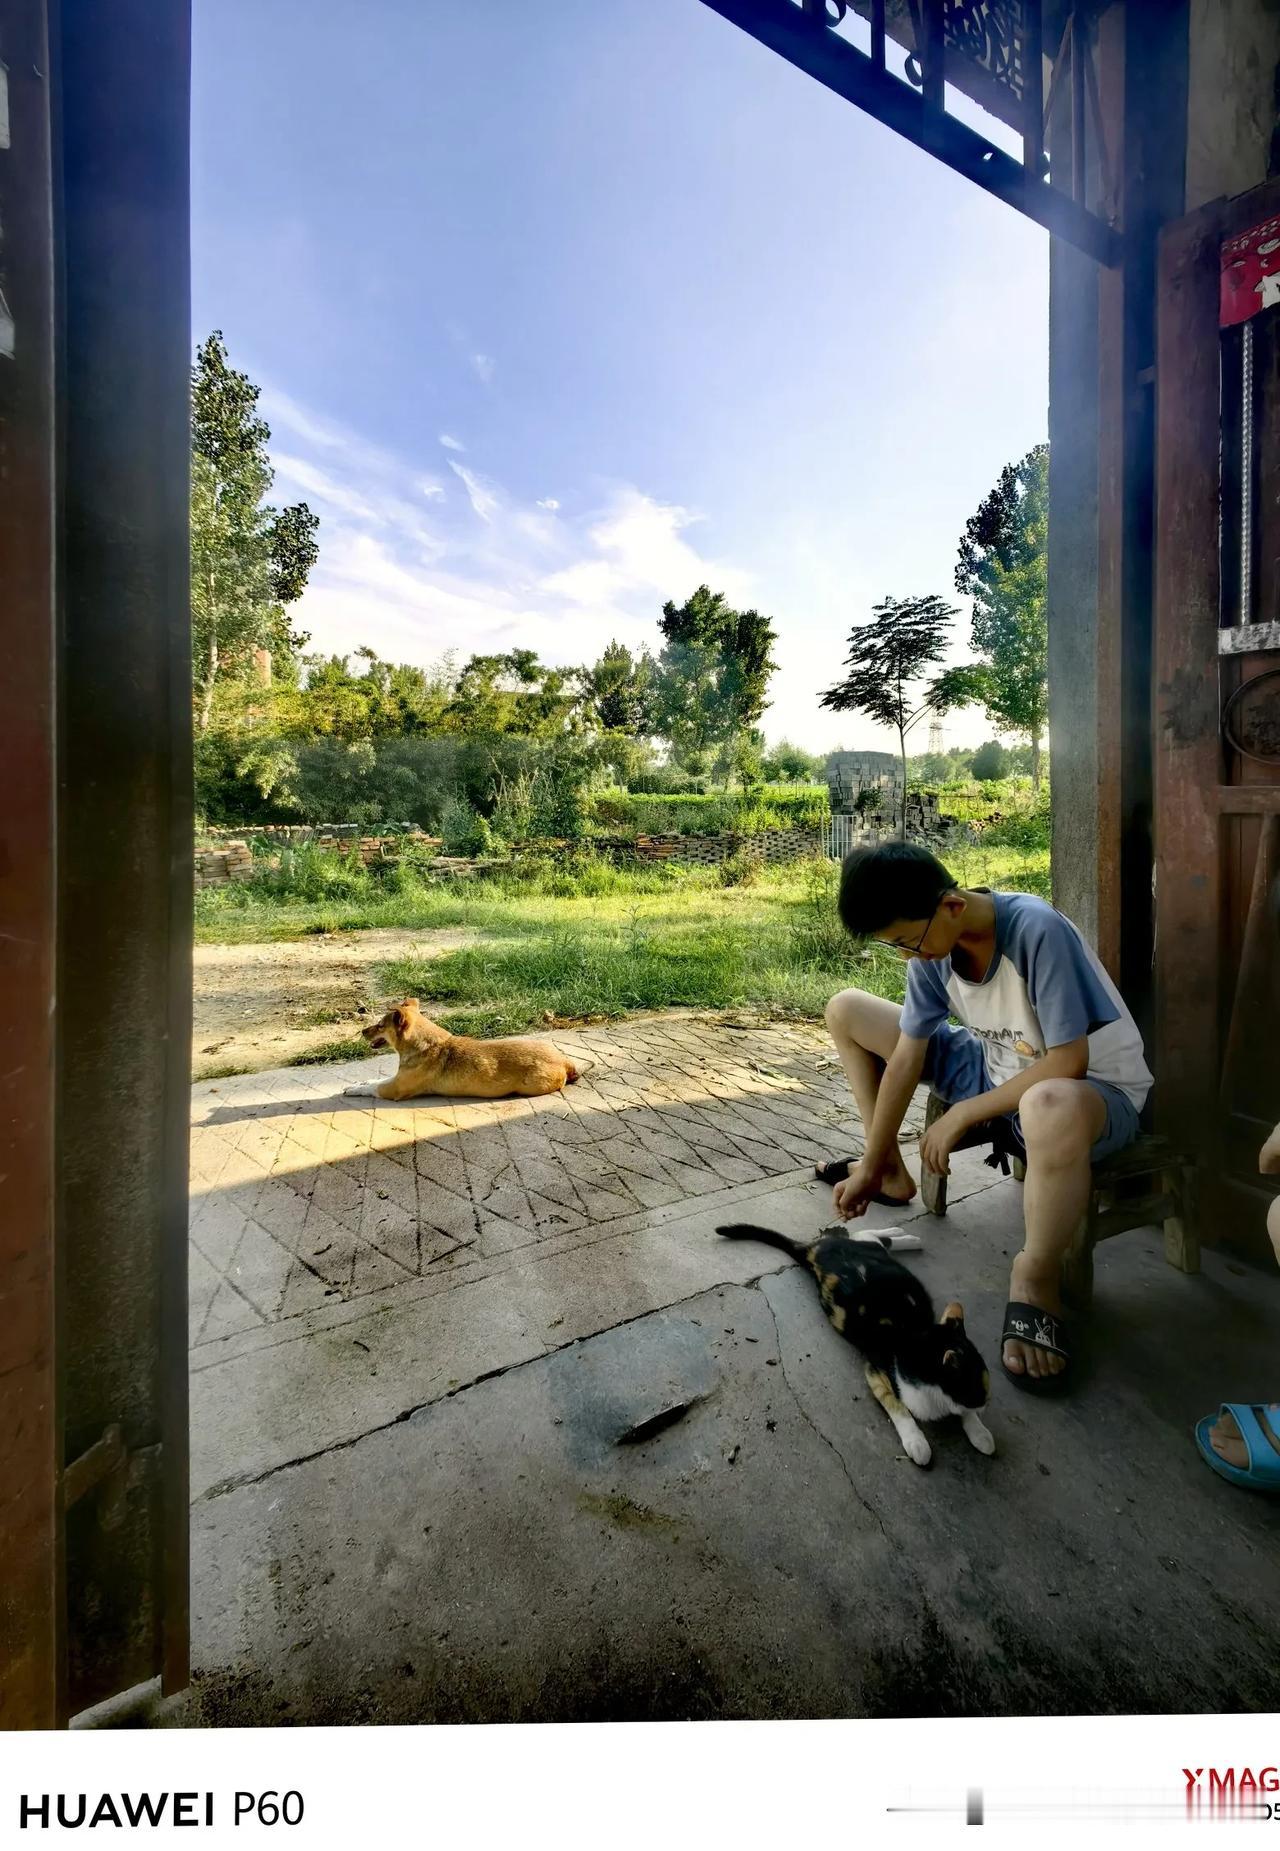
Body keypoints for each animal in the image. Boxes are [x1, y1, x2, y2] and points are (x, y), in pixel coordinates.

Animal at [340, 999, 580, 1095]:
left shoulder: (395, 1089)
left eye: (380, 1025)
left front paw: (354, 1089)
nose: (362, 1032)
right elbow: (376, 1080)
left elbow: (374, 1088)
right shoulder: (397, 1078)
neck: (425, 1044)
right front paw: (361, 1082)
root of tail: (564, 1060)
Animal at [713, 1221, 991, 1465]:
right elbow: (898, 1406)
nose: (985, 1405)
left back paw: (907, 1237)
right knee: (865, 1233)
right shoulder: (875, 1371)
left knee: (869, 1236)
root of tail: (816, 1248)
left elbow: (964, 1412)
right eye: (981, 1390)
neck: (915, 1334)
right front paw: (917, 1442)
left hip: (873, 1250)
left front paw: (980, 1432)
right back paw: (906, 1236)